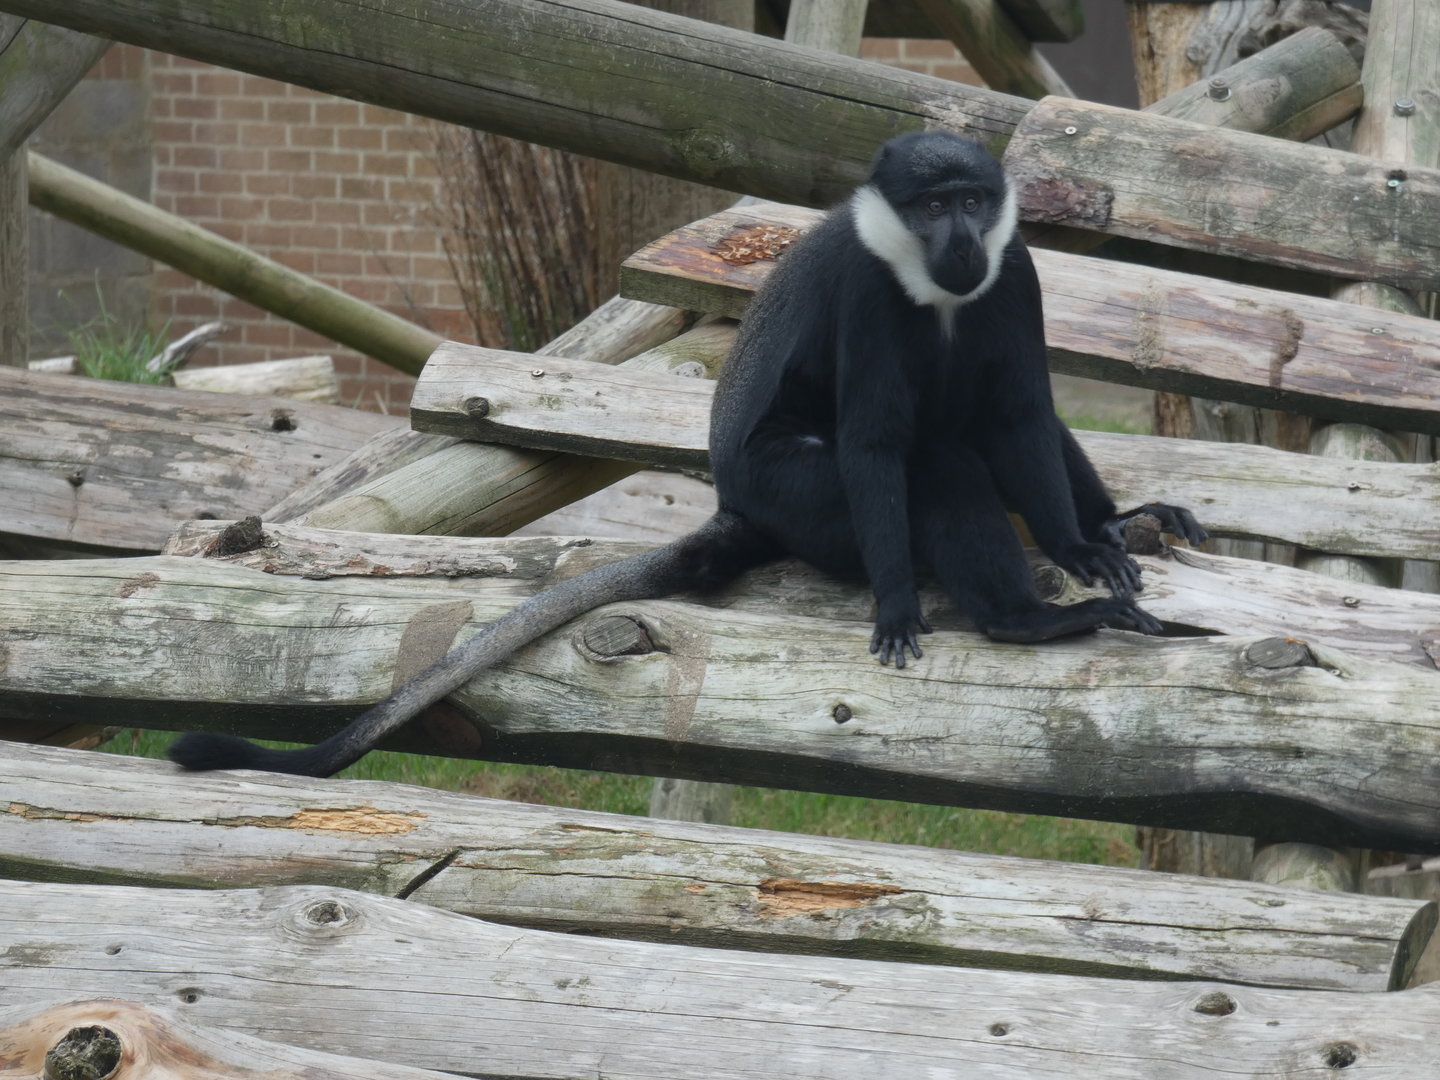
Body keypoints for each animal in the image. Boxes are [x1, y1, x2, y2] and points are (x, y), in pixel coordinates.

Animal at [168, 130, 1205, 778]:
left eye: (974, 201)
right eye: (934, 203)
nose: (958, 236)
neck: (934, 284)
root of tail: (739, 509)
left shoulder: (1013, 271)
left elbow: (1024, 414)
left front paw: (1086, 544)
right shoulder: (869, 295)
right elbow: (881, 439)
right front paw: (905, 607)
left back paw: (1117, 532)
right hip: (801, 497)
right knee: (935, 460)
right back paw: (1021, 623)